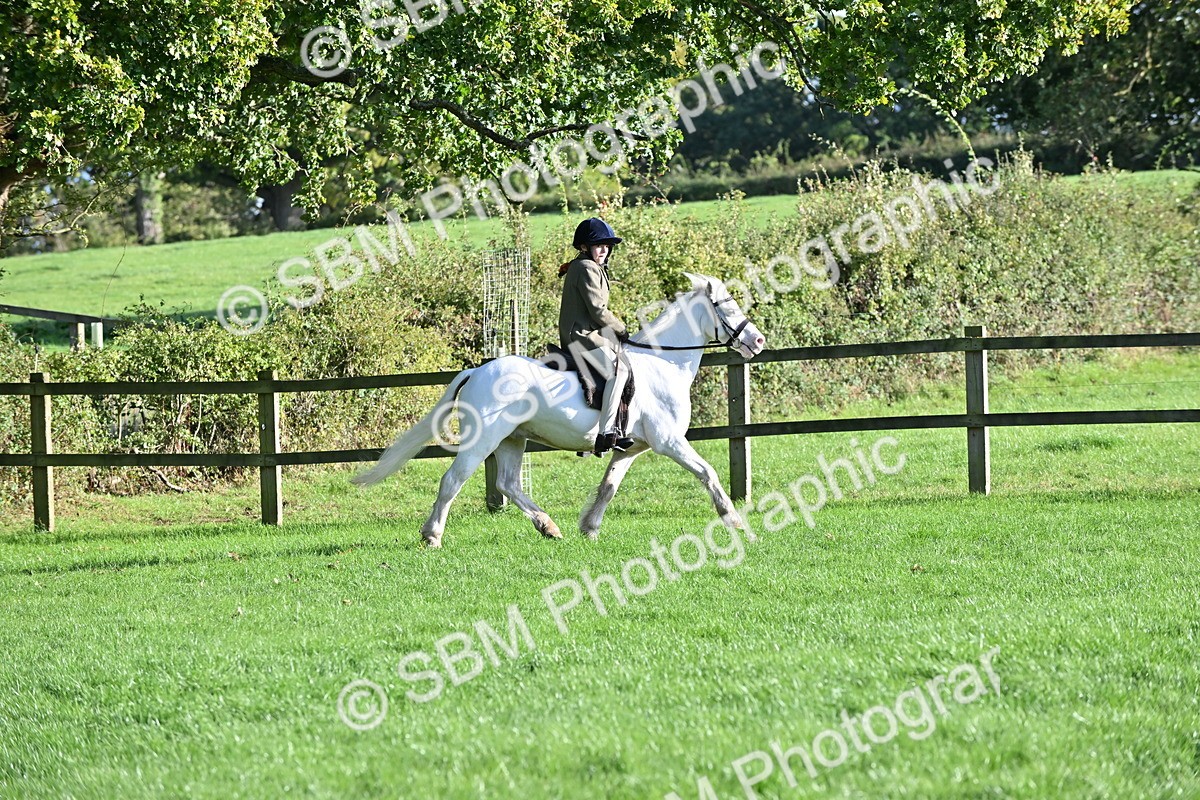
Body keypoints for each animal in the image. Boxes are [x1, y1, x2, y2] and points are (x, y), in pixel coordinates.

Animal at [351, 272, 766, 547]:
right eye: (728, 305)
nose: (758, 341)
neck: (662, 364)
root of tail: (476, 371)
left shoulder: (631, 447)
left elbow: (609, 486)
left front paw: (590, 527)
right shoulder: (669, 442)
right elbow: (708, 473)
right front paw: (736, 523)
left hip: (512, 440)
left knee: (508, 484)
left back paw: (548, 527)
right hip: (484, 440)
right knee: (453, 480)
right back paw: (432, 536)